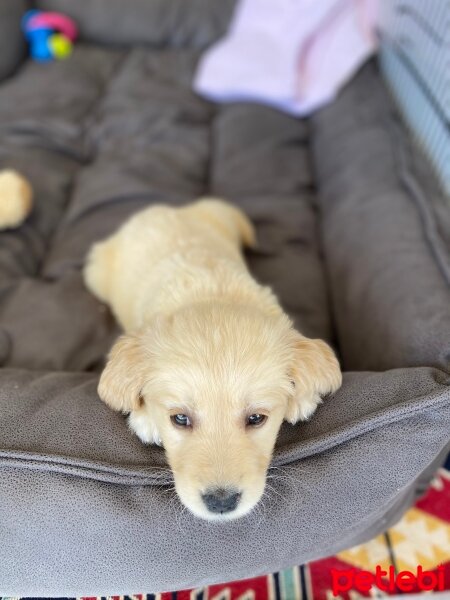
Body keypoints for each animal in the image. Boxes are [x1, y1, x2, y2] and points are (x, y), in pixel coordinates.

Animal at [83, 200, 342, 520]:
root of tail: (160, 208)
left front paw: (302, 398)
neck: (211, 294)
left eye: (256, 418)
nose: (221, 503)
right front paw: (146, 420)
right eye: (180, 419)